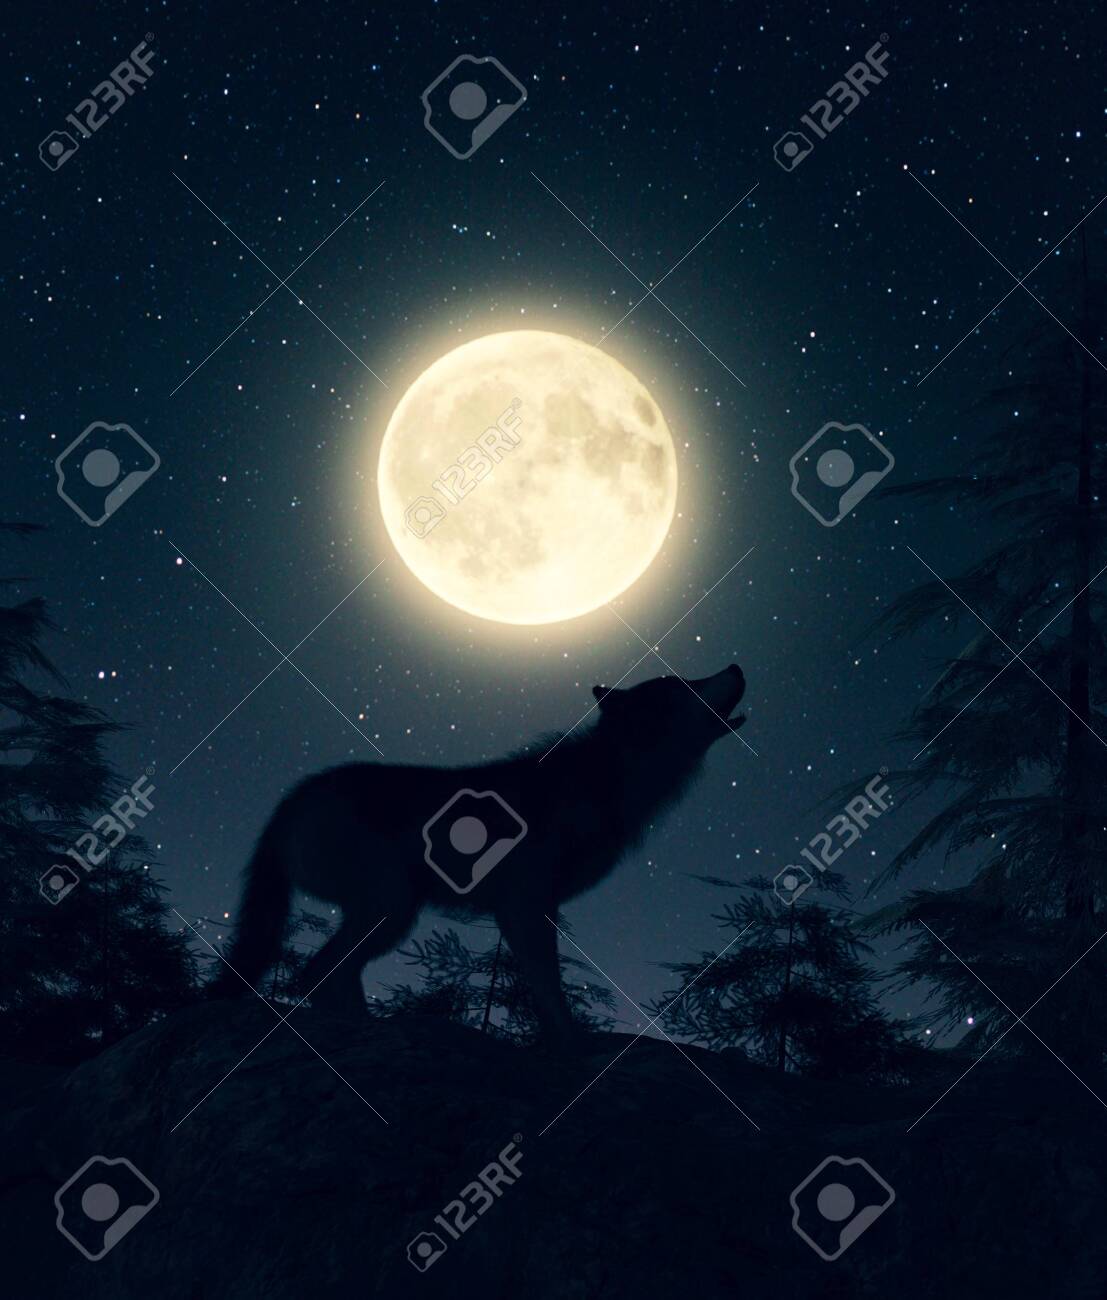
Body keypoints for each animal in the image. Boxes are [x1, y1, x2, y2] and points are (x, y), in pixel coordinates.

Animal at [215, 665, 747, 1044]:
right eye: (685, 684)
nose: (738, 667)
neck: (606, 778)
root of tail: (290, 802)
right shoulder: (525, 906)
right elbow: (549, 985)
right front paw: (574, 1041)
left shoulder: (527, 910)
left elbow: (541, 988)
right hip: (391, 910)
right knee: (317, 973)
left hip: (388, 914)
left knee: (331, 975)